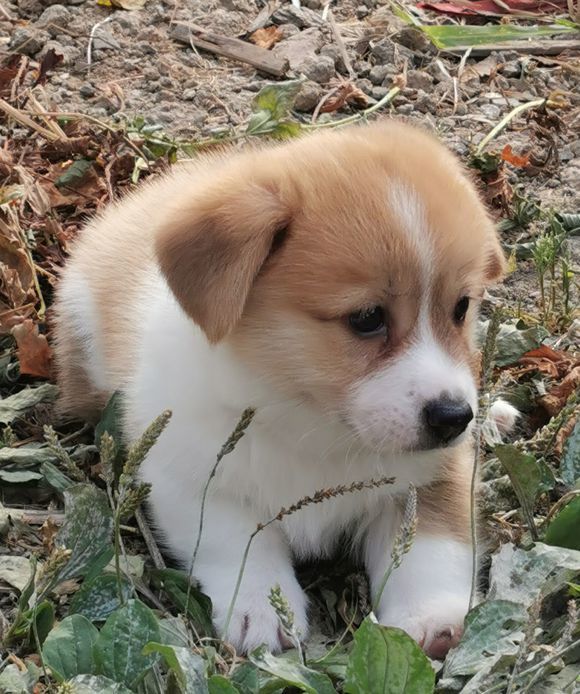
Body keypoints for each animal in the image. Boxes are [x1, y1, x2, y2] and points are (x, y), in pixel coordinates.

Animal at [55, 122, 512, 660]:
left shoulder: (433, 476)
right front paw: (259, 607)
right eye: (367, 318)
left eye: (461, 307)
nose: (453, 417)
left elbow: (431, 542)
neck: (309, 422)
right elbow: (237, 542)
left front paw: (430, 615)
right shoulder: (191, 479)